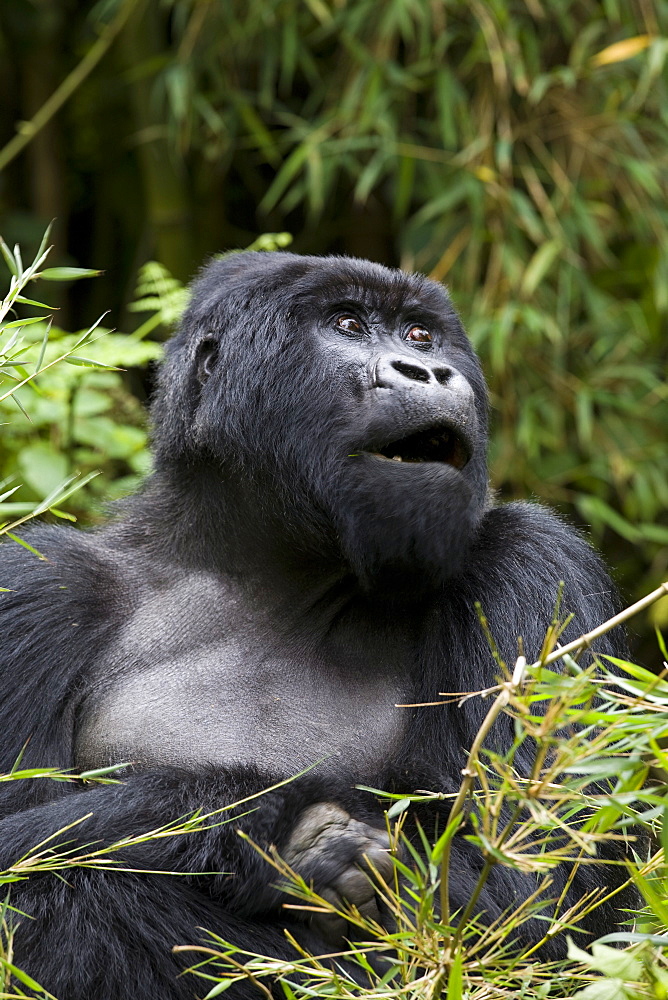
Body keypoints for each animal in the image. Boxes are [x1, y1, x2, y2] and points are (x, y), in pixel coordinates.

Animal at [0, 256, 628, 1000]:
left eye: (420, 335)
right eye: (348, 325)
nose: (427, 371)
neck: (269, 570)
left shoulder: (536, 564)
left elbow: (529, 906)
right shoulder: (35, 585)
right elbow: (22, 851)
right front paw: (271, 829)